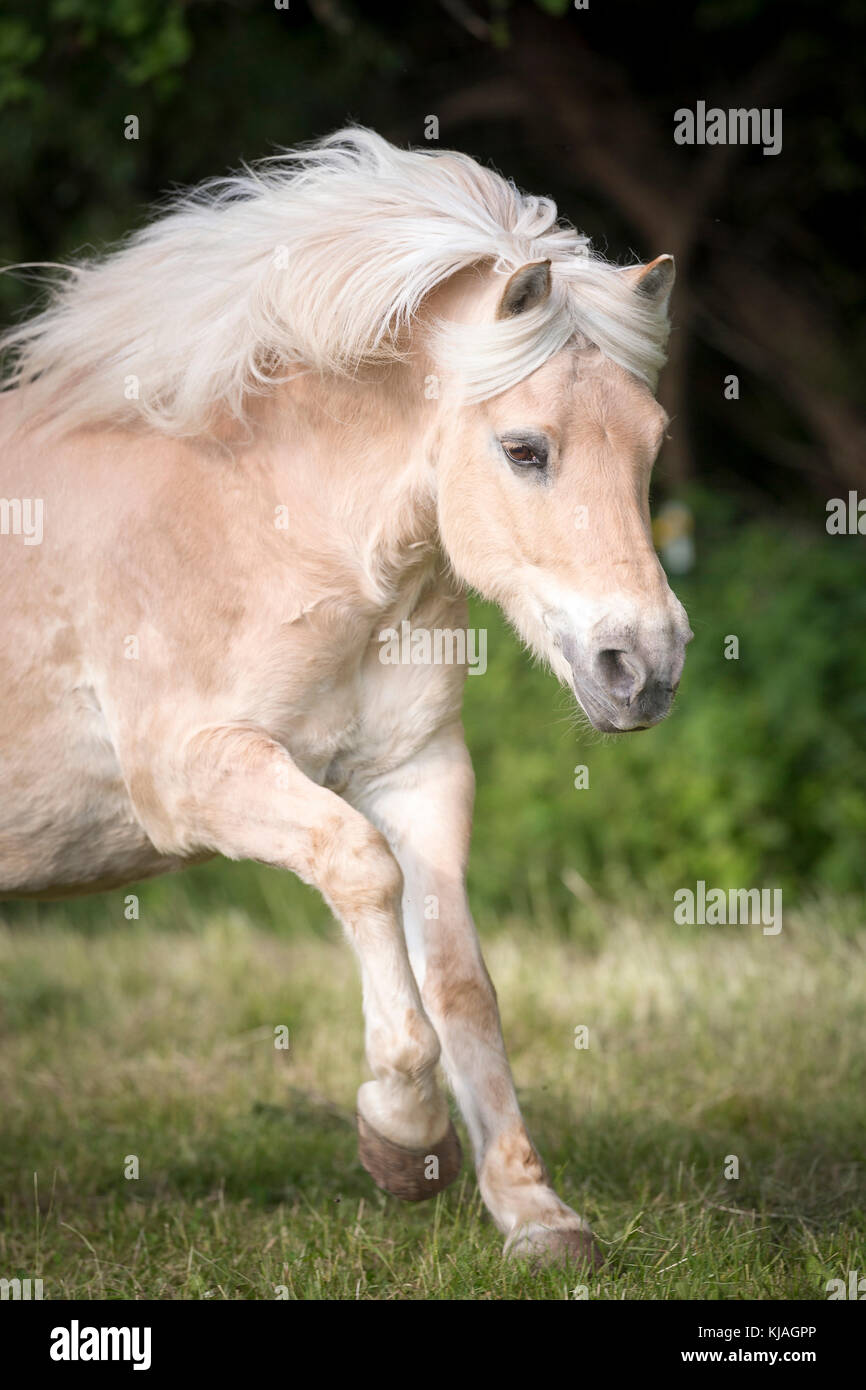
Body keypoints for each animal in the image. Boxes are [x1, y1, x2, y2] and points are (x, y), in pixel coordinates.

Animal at [0, 130, 692, 1273]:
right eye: (525, 449)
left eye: (650, 444)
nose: (644, 666)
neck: (269, 525)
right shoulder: (195, 776)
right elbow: (361, 871)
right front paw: (401, 1140)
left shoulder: (416, 772)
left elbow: (460, 981)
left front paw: (535, 1216)